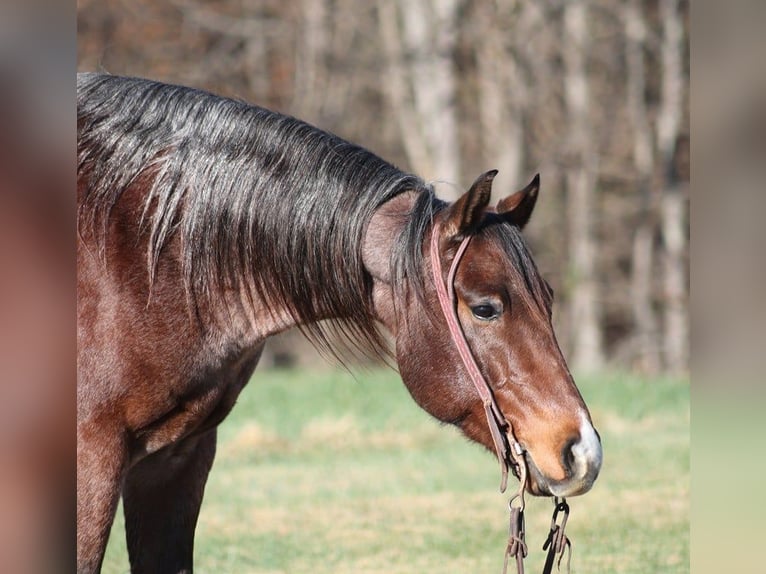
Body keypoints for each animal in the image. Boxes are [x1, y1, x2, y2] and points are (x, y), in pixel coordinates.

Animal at [76, 73, 602, 573]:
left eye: (549, 299)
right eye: (485, 308)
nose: (583, 452)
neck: (147, 257)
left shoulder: (179, 459)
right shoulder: (94, 460)